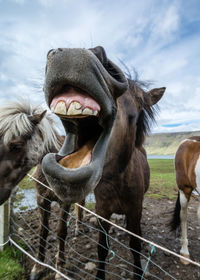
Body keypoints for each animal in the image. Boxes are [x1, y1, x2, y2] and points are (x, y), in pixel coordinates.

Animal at [41, 46, 165, 280]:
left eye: (138, 108)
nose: (76, 54)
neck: (117, 179)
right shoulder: (102, 210)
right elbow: (102, 247)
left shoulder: (135, 209)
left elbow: (135, 245)